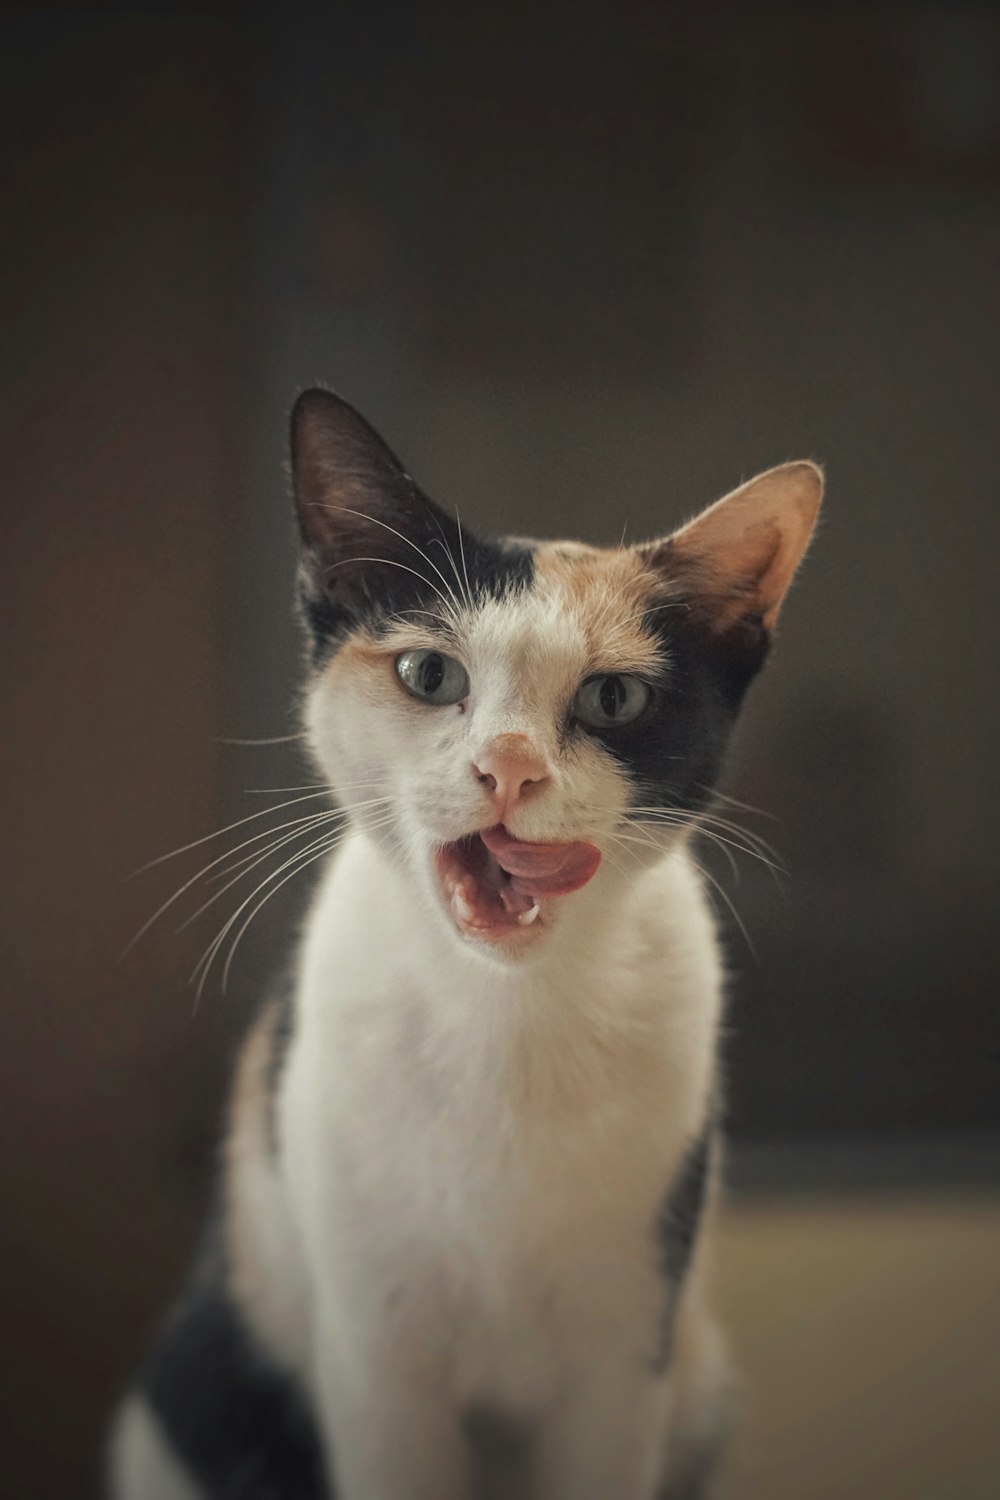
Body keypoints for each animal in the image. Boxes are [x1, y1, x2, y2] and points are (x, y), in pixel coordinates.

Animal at [107, 390, 821, 1500]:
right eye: (428, 673)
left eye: (613, 699)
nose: (508, 767)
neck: (505, 1013)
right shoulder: (376, 1366)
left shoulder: (626, 1364)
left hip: (698, 1383)